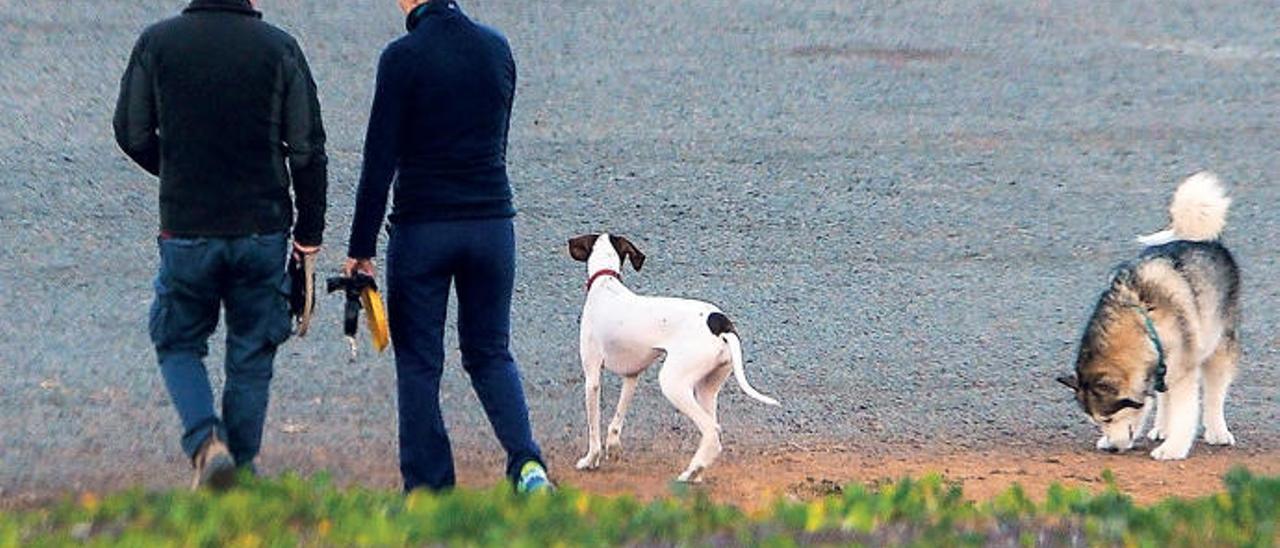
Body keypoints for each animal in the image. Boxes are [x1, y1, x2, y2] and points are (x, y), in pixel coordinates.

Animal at [570, 233, 778, 481]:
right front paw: (613, 446)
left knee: (711, 430)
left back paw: (691, 471)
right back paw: (697, 472)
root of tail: (720, 323)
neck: (606, 284)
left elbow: (593, 429)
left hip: (673, 384)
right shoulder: (631, 376)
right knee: (714, 433)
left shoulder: (592, 378)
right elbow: (617, 419)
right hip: (706, 389)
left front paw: (590, 459)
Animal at [1059, 170, 1239, 458]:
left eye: (1108, 418)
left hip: (1219, 345)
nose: (1112, 448)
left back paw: (1217, 431)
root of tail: (1201, 239)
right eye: (1097, 422)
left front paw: (1173, 449)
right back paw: (1162, 428)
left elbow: (1186, 412)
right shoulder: (1161, 366)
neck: (1143, 324)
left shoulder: (1184, 371)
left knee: (1214, 393)